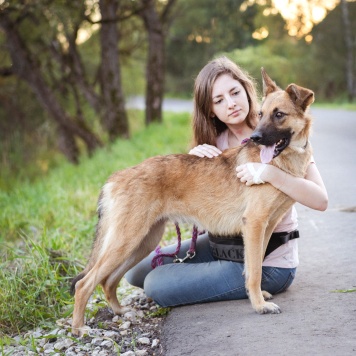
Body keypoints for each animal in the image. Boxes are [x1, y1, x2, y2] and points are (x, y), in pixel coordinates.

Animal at [70, 69, 314, 336]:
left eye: (279, 114)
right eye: (260, 114)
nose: (255, 138)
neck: (280, 163)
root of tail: (116, 177)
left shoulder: (265, 228)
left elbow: (254, 265)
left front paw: (257, 296)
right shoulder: (255, 225)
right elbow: (255, 272)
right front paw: (259, 305)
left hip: (142, 243)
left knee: (108, 281)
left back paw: (119, 311)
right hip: (126, 241)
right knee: (85, 283)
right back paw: (79, 328)